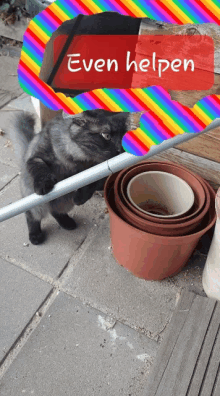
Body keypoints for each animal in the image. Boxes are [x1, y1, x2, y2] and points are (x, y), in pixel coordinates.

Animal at [11, 108, 140, 244]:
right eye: (106, 135)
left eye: (123, 137)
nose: (120, 149)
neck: (79, 160)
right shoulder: (37, 157)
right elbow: (40, 169)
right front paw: (43, 184)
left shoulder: (103, 174)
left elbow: (92, 184)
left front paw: (80, 197)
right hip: (36, 204)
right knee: (31, 216)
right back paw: (35, 235)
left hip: (65, 203)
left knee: (55, 211)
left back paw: (66, 222)